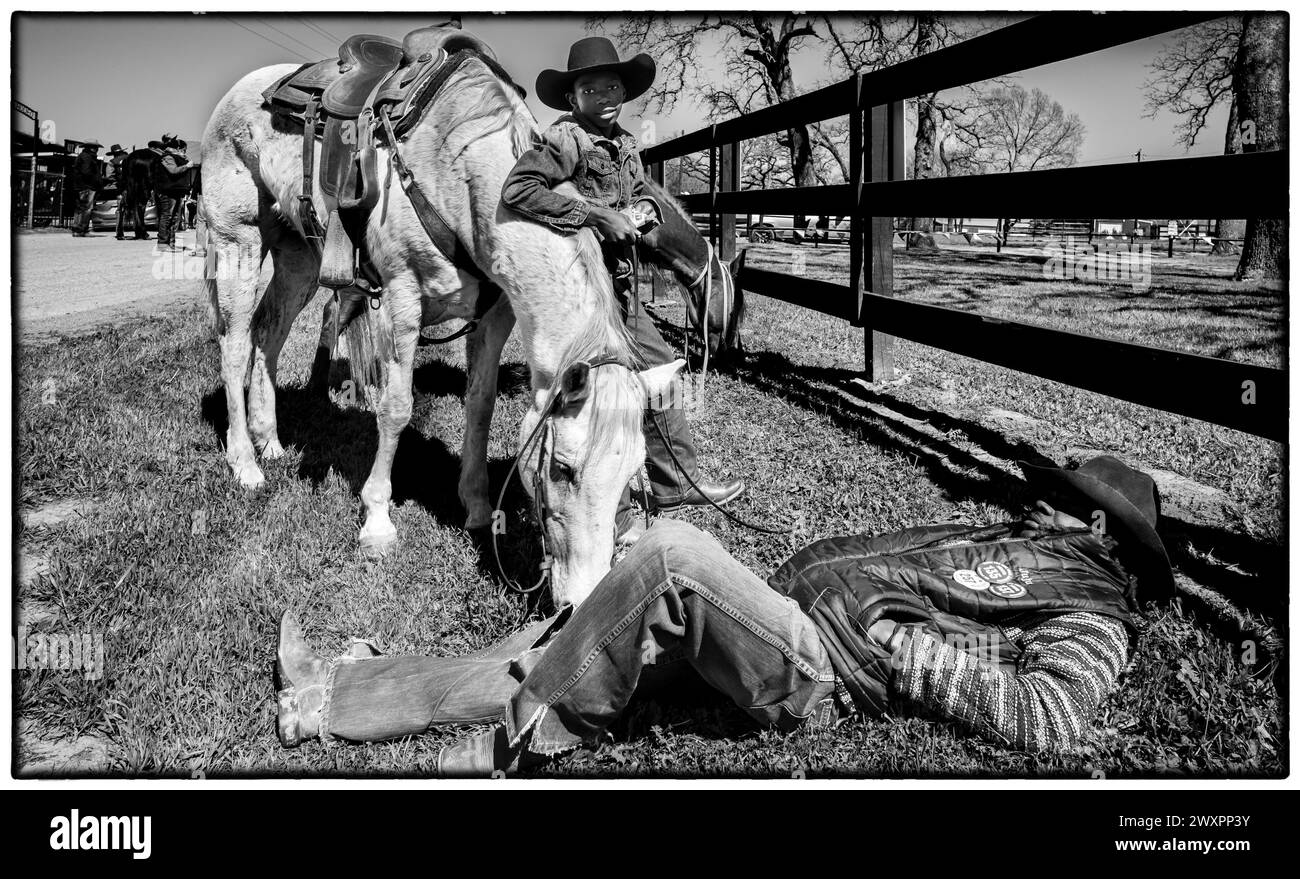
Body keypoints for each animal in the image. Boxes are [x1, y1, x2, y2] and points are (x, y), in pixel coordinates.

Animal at [197, 27, 681, 603]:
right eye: (562, 469)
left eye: (633, 474)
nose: (581, 598)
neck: (461, 170)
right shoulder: (401, 300)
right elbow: (396, 408)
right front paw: (377, 522)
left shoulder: (495, 316)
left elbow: (480, 405)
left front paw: (475, 506)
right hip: (238, 243)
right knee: (234, 345)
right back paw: (245, 463)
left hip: (300, 258)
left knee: (268, 334)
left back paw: (269, 440)